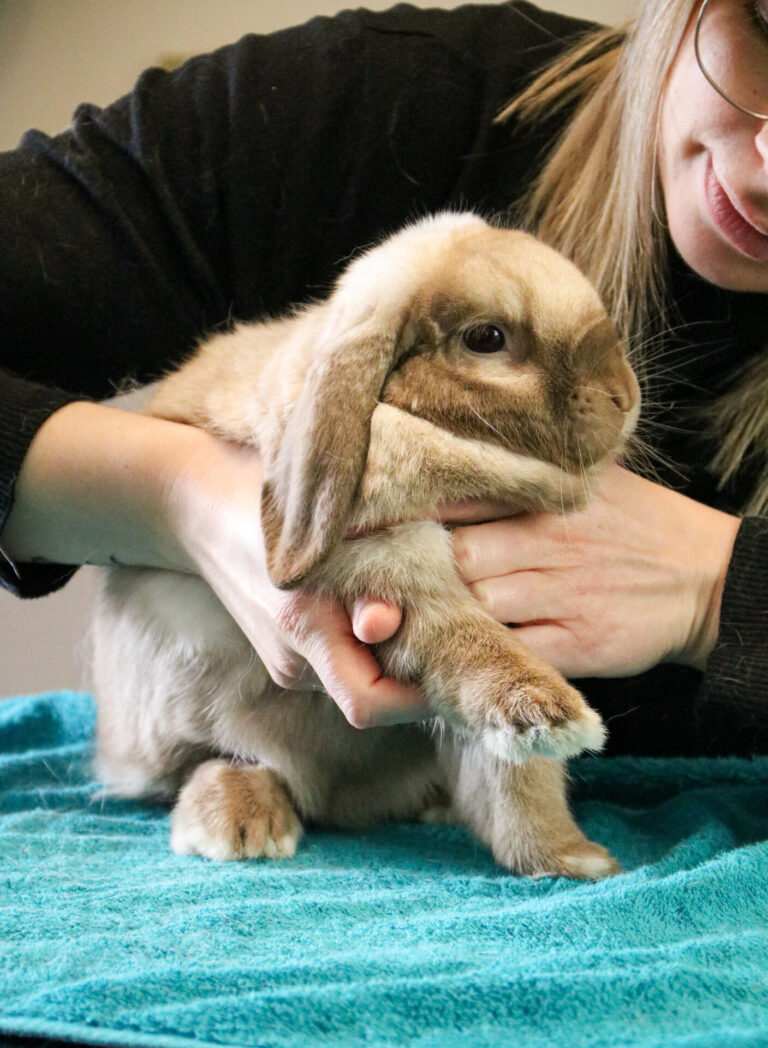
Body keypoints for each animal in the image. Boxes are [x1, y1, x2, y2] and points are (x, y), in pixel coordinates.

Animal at [91, 212, 640, 878]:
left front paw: (572, 858)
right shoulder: (386, 562)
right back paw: (242, 826)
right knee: (216, 760)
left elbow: (515, 776)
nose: (624, 397)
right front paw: (551, 716)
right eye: (487, 337)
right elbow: (469, 644)